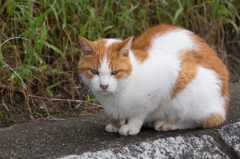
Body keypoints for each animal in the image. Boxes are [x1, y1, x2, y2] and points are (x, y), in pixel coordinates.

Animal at [78, 23, 230, 135]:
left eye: (115, 72)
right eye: (94, 71)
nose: (103, 86)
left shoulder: (164, 77)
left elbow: (141, 111)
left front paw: (131, 126)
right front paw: (115, 123)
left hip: (189, 90)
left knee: (201, 120)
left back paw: (168, 123)